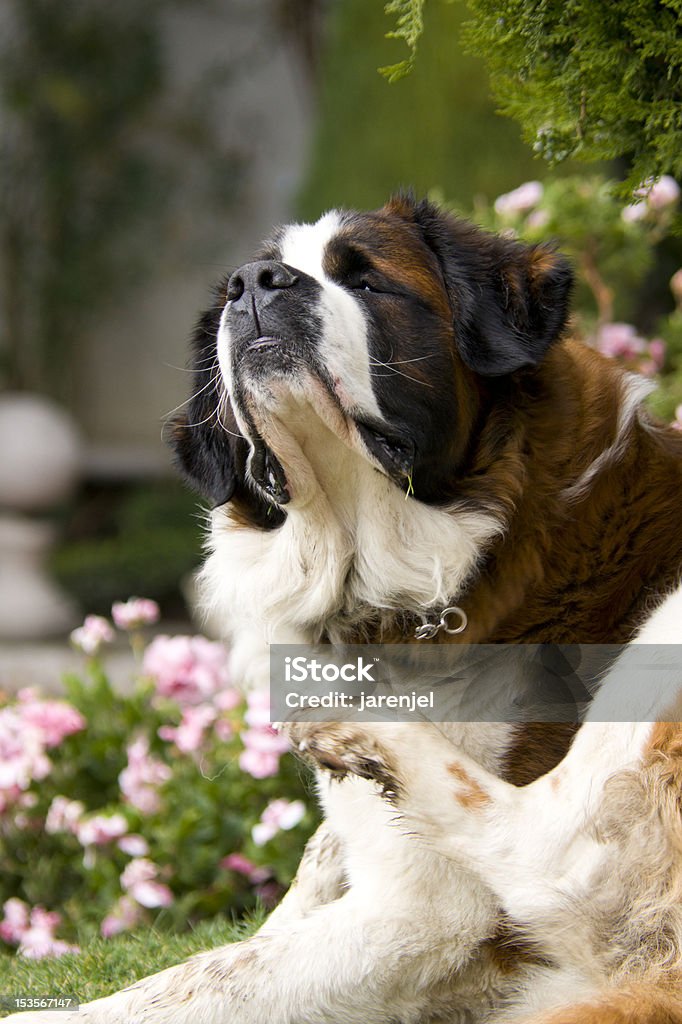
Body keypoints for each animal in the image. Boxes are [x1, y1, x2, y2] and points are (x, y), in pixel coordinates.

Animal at [5, 193, 679, 1024]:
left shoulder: (424, 909)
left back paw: (351, 724)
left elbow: (212, 977)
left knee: (549, 847)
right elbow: (281, 910)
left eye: (364, 281)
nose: (255, 284)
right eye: (238, 286)